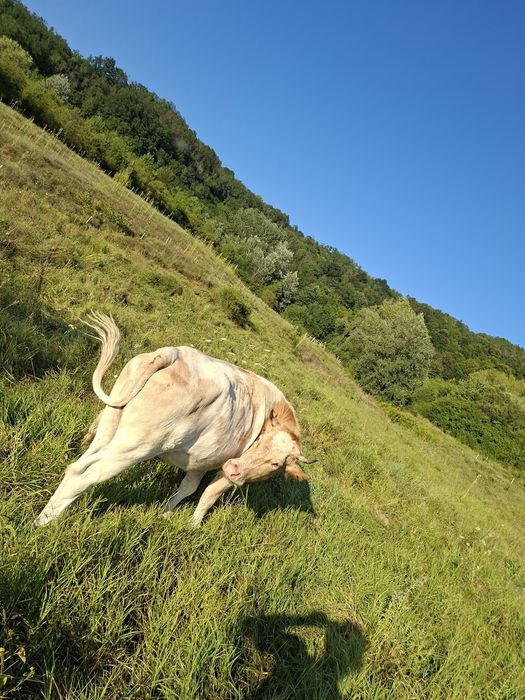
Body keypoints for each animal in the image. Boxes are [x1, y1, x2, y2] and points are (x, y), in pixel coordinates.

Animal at [34, 312, 313, 527]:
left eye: (276, 462)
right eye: (259, 443)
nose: (234, 467)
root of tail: (175, 353)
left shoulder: (202, 462)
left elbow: (188, 488)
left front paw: (166, 513)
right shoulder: (227, 472)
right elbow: (207, 495)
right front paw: (194, 525)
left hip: (111, 426)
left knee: (80, 463)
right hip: (136, 446)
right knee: (84, 474)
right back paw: (44, 523)